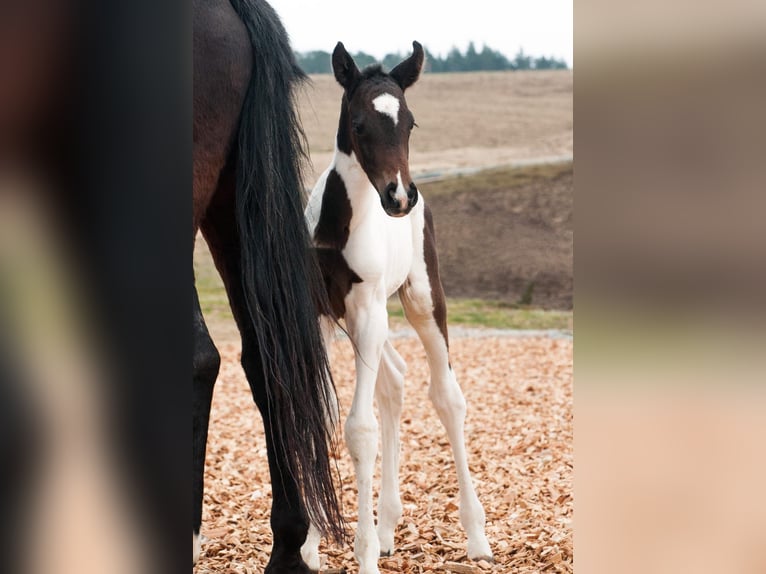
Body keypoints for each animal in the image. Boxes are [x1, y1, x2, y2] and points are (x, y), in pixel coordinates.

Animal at [301, 41, 493, 574]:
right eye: (360, 122)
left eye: (410, 123)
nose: (400, 196)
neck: (337, 225)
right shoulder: (321, 316)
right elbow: (321, 417)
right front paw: (309, 546)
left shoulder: (367, 310)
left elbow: (360, 428)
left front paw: (363, 554)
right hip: (372, 323)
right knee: (395, 381)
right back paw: (387, 527)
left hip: (420, 301)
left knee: (446, 396)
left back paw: (475, 538)